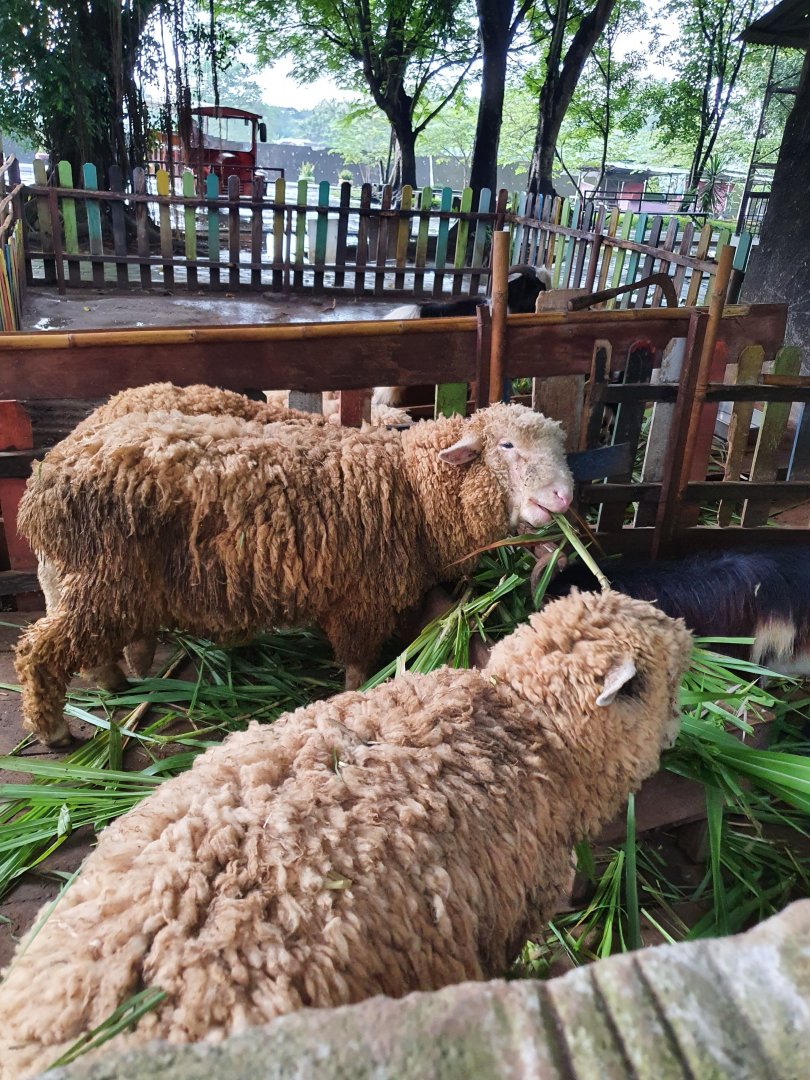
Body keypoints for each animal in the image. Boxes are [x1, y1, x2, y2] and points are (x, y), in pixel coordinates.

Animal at [15, 402, 574, 746]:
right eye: (506, 446)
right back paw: (55, 731)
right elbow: (356, 664)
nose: (564, 498)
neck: (414, 489)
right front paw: (353, 697)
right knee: (38, 651)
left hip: (89, 584)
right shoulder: (360, 599)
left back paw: (113, 683)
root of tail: (44, 481)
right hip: (103, 581)